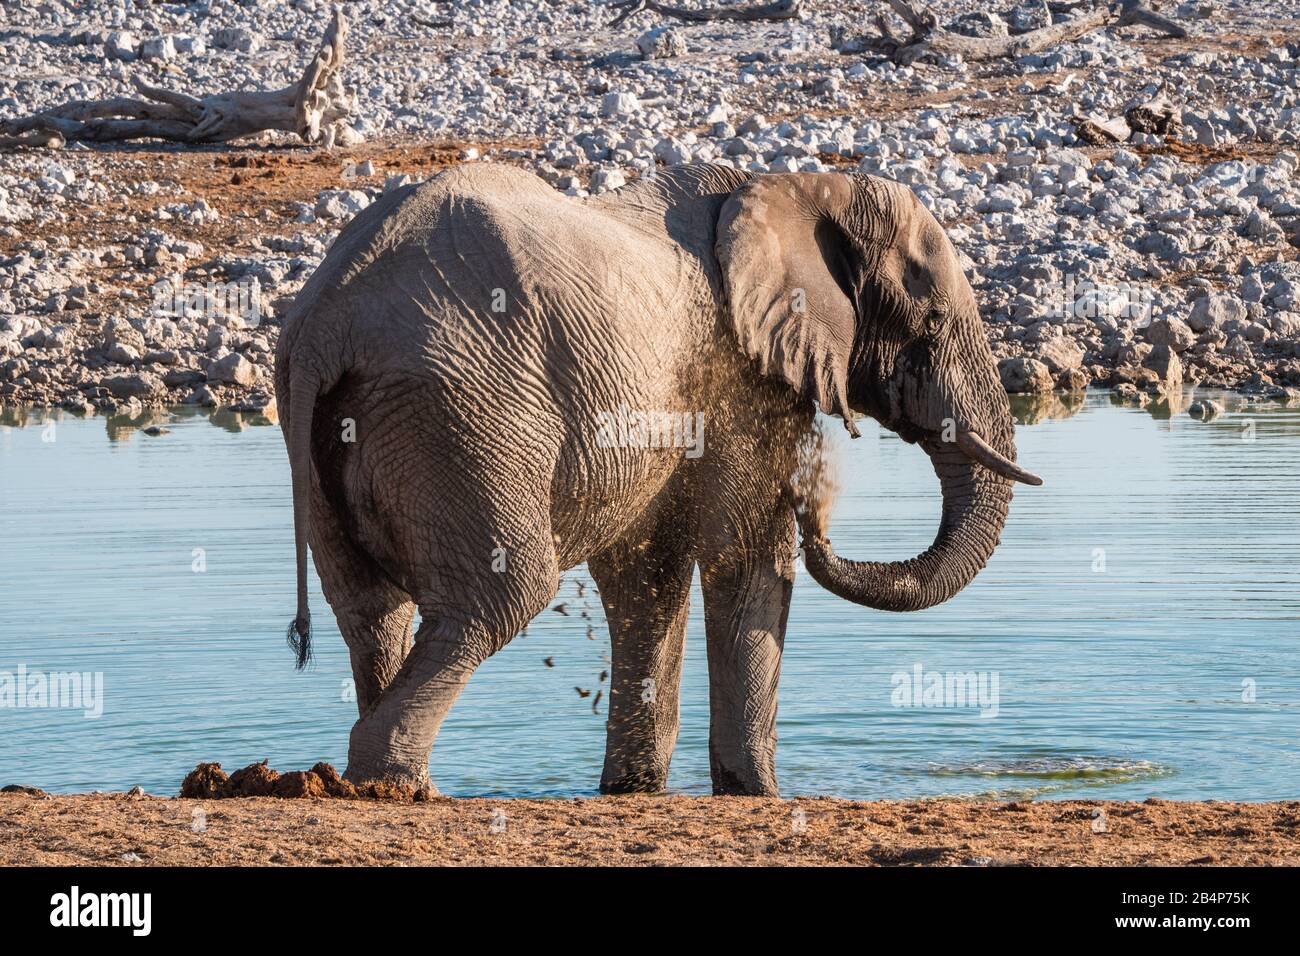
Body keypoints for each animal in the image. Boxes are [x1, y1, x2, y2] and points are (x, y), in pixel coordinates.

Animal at [271, 162, 1034, 801]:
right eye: (930, 323)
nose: (814, 509)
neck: (797, 186)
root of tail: (327, 320)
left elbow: (647, 575)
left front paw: (632, 791)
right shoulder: (736, 371)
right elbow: (743, 554)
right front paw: (758, 795)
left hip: (345, 434)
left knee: (372, 610)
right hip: (463, 415)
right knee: (501, 596)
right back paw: (393, 787)